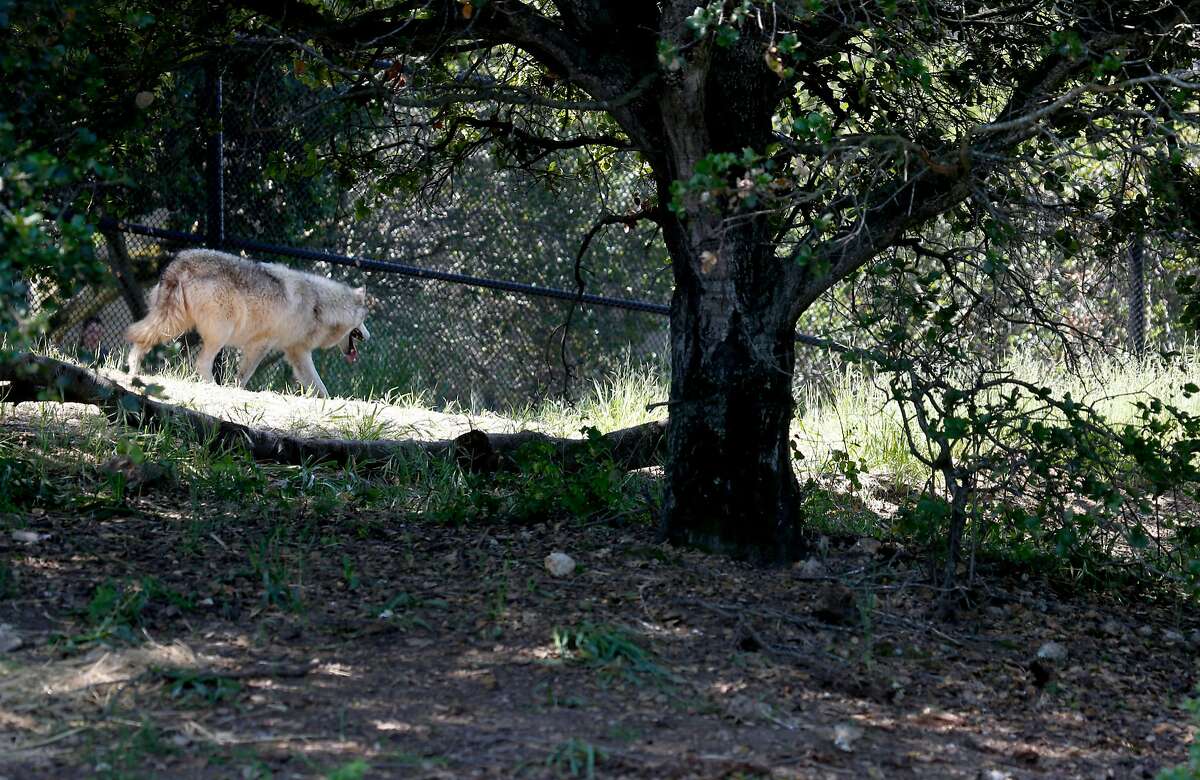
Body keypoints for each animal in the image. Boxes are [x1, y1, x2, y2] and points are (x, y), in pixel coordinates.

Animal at [126, 247, 369, 398]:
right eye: (364, 321)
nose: (368, 336)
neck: (318, 306)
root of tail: (180, 261)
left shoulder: (297, 352)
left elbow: (320, 387)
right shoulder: (261, 344)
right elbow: (243, 377)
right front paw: (235, 391)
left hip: (172, 325)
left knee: (140, 340)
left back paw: (133, 374)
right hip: (219, 333)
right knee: (201, 363)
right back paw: (214, 388)